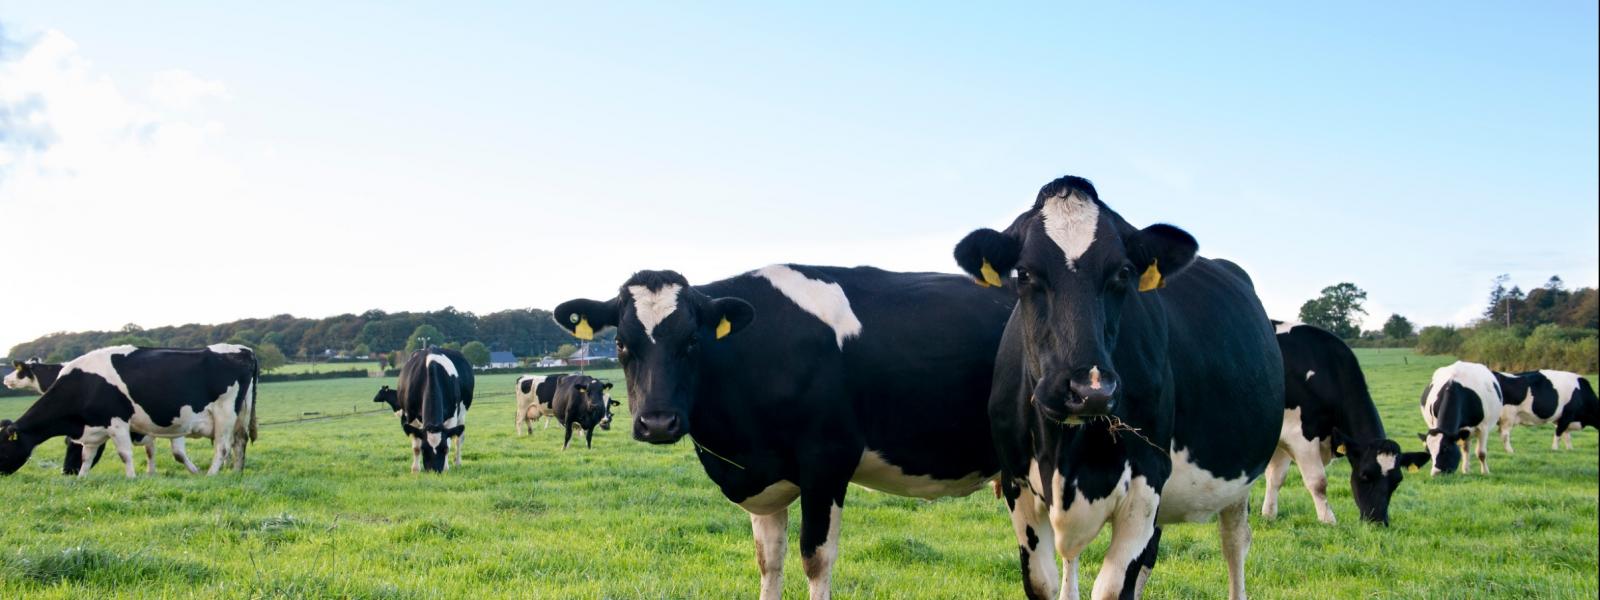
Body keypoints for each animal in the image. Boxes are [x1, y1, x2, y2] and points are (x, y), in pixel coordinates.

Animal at [4, 360, 196, 476]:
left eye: (19, 371)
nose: (66, 471)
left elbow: (177, 452)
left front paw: (195, 471)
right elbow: (151, 450)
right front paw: (150, 473)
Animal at [553, 265, 1011, 598]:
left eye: (693, 340)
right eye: (621, 344)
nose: (658, 423)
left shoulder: (827, 463)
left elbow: (816, 560)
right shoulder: (761, 479)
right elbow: (768, 561)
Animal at [953, 176, 1280, 600]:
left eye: (1123, 273)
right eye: (1023, 274)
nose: (1089, 390)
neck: (1062, 453)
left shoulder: (1147, 479)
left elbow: (1111, 588)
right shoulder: (1016, 483)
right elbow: (1045, 583)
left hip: (1236, 480)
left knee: (1234, 543)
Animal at [1267, 321, 1433, 524]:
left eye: (1397, 481)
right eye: (1364, 475)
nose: (1378, 521)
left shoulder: (1282, 436)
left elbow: (1276, 477)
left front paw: (1268, 516)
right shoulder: (1300, 435)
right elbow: (1318, 481)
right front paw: (1328, 521)